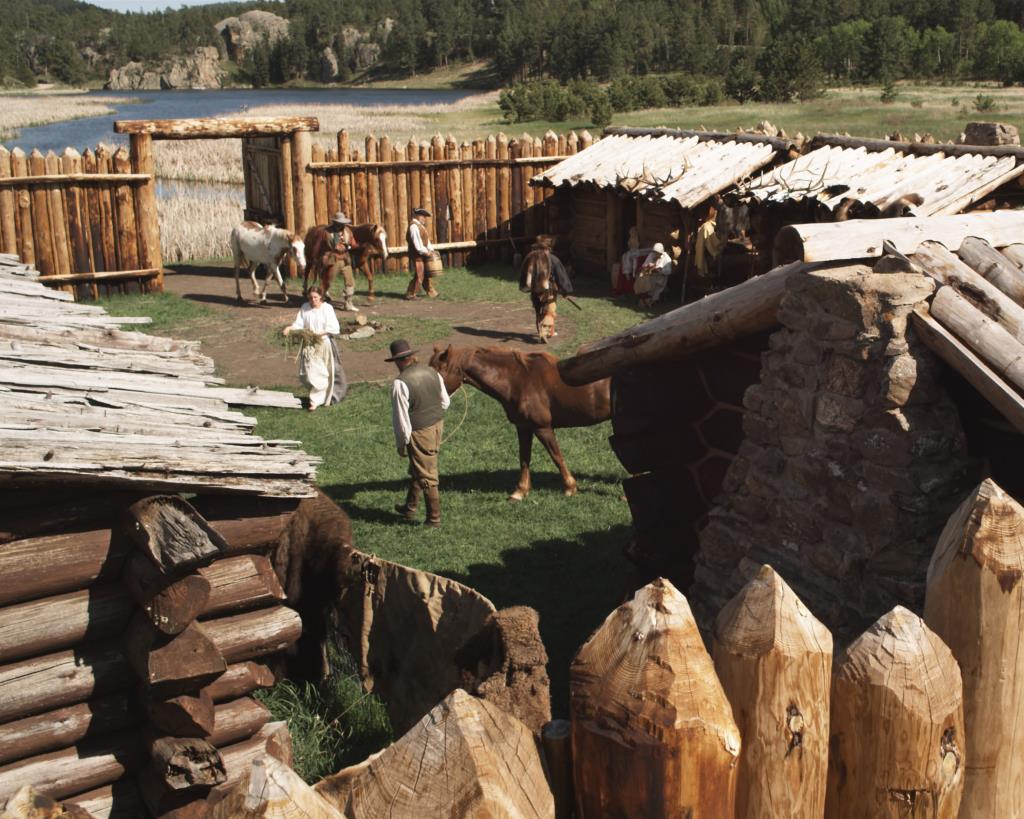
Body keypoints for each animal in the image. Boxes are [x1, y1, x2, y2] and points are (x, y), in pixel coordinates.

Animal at [430, 343, 610, 499]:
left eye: (436, 373)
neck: (517, 380)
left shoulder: (542, 428)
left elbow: (557, 456)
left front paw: (570, 487)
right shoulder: (523, 427)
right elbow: (524, 458)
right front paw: (521, 491)